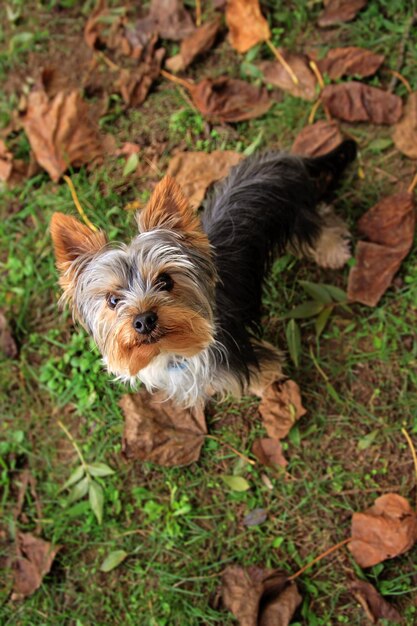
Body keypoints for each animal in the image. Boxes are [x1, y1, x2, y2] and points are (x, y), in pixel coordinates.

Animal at [50, 139, 356, 408]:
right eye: (112, 300)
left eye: (165, 281)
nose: (144, 320)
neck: (172, 351)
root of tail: (284, 158)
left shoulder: (242, 356)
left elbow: (264, 373)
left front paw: (270, 390)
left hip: (299, 213)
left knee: (323, 223)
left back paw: (334, 252)